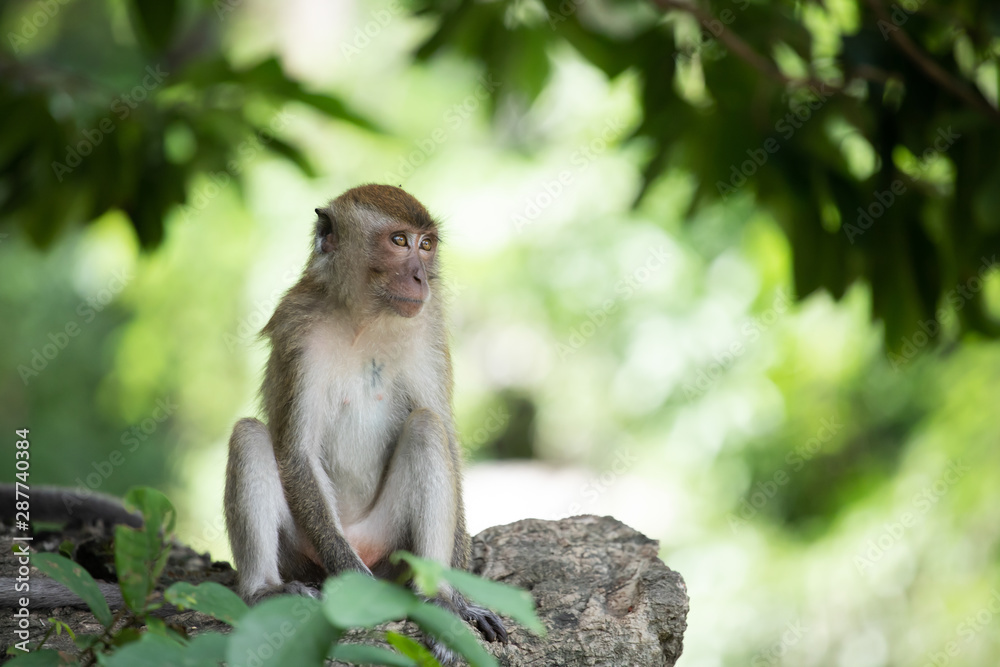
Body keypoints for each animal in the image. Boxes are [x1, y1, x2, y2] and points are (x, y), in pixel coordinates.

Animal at [226, 184, 508, 648]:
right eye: (399, 241)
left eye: (426, 245)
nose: (420, 277)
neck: (365, 319)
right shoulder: (297, 330)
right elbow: (297, 451)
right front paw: (358, 590)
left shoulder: (428, 329)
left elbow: (445, 437)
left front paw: (463, 601)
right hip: (304, 551)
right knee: (249, 434)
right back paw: (265, 590)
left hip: (390, 543)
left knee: (426, 427)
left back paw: (439, 601)